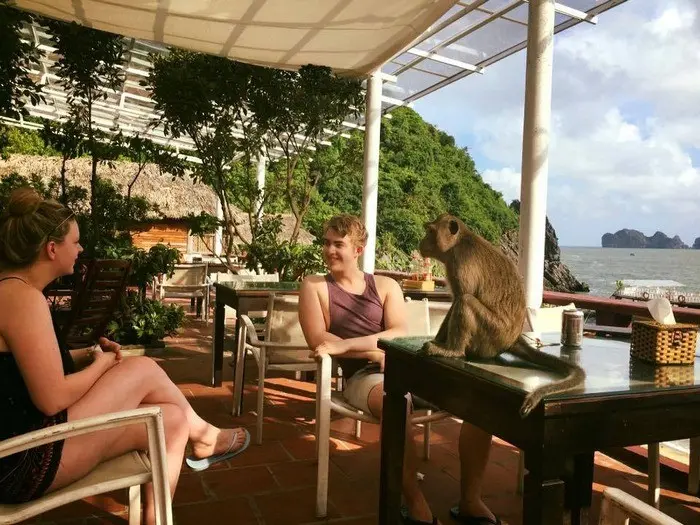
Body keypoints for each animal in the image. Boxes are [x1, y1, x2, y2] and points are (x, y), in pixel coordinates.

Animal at [417, 213, 585, 418]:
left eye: (430, 231)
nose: (422, 241)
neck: (459, 242)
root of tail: (511, 339)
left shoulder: (460, 262)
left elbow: (460, 297)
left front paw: (440, 345)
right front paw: (437, 339)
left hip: (492, 334)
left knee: (466, 301)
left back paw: (454, 351)